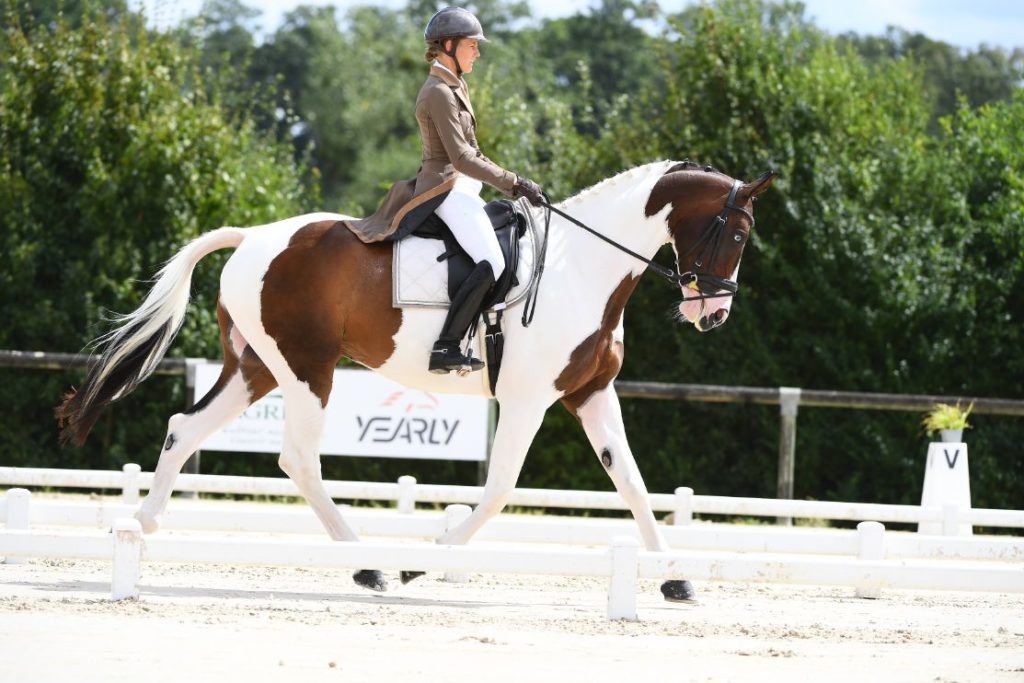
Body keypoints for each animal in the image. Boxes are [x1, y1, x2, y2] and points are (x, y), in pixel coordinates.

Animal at [58, 161, 774, 602]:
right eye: (738, 233)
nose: (712, 313)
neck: (583, 267)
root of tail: (254, 237)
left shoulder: (589, 394)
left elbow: (632, 481)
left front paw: (674, 579)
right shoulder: (526, 400)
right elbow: (499, 490)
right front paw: (422, 560)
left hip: (257, 368)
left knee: (185, 428)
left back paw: (143, 526)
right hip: (307, 369)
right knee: (298, 459)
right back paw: (369, 566)